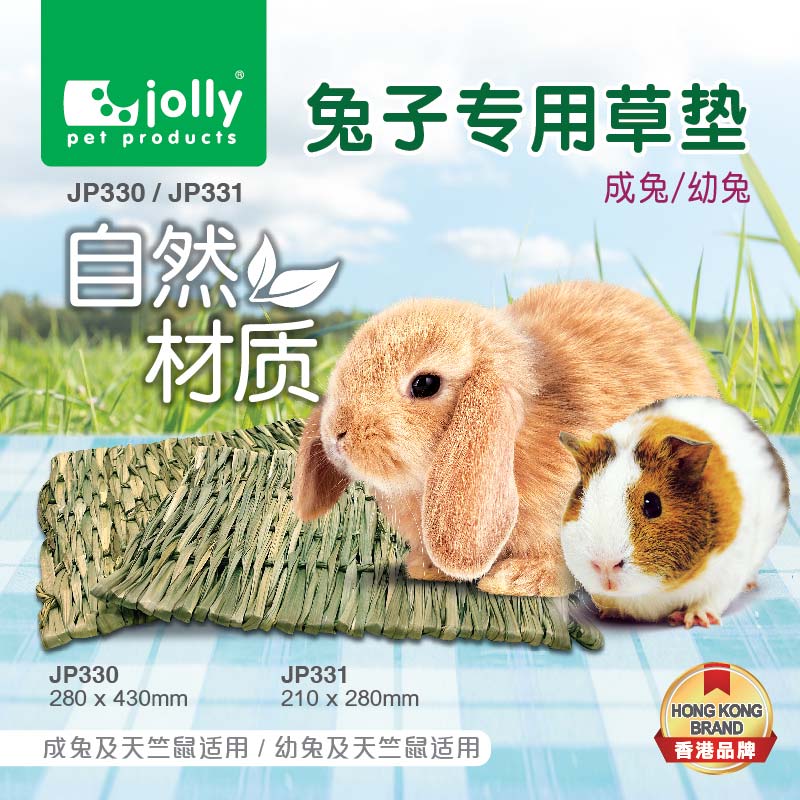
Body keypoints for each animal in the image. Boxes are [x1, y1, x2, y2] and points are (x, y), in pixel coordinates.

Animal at [560, 396, 789, 626]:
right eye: (582, 496)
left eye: (652, 504)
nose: (605, 564)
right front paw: (609, 614)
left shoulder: (729, 568)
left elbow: (710, 600)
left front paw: (694, 619)